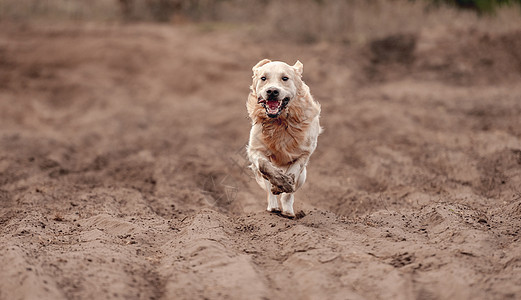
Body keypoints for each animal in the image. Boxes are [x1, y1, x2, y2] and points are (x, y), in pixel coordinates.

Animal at [245, 58, 320, 218]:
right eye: (263, 78)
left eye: (285, 78)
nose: (272, 91)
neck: (279, 122)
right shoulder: (255, 149)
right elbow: (264, 165)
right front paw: (279, 182)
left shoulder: (305, 153)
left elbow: (293, 172)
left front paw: (285, 183)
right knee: (269, 189)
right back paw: (274, 207)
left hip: (303, 177)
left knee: (289, 194)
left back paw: (288, 211)